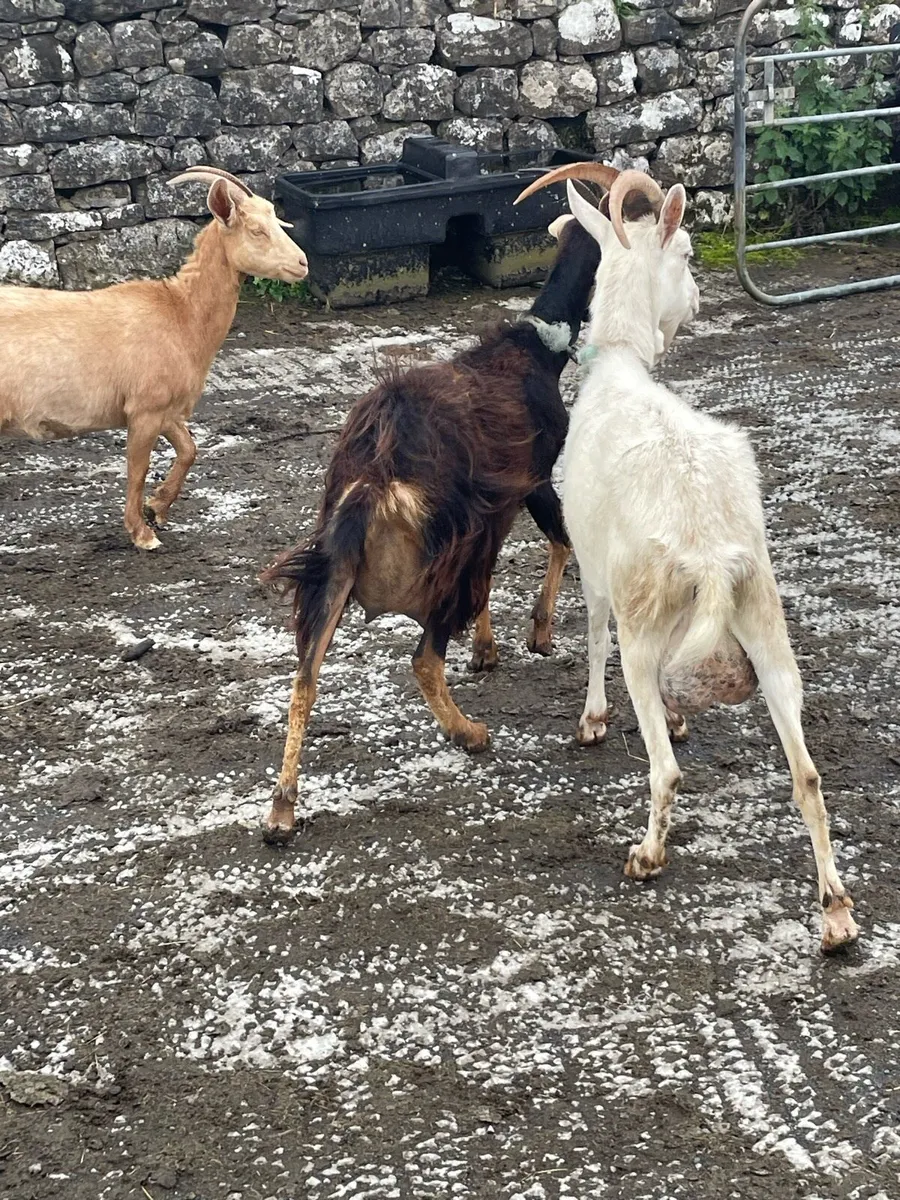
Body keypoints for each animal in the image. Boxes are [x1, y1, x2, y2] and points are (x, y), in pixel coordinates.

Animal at [0, 166, 308, 551]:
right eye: (256, 229)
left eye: (276, 219)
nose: (302, 264)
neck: (181, 315)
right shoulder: (144, 409)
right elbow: (138, 468)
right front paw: (142, 533)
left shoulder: (167, 409)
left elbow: (189, 449)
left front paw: (157, 507)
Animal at [258, 182, 625, 845]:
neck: (535, 352)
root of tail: (374, 478)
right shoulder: (530, 481)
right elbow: (558, 540)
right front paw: (536, 632)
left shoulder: (494, 511)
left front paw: (488, 648)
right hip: (440, 565)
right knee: (425, 659)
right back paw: (469, 733)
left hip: (335, 571)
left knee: (304, 676)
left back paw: (281, 809)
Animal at [522, 165, 859, 954]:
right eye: (684, 258)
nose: (699, 301)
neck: (618, 369)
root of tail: (708, 547)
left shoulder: (596, 565)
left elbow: (592, 634)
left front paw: (591, 720)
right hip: (765, 618)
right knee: (807, 775)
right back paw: (836, 914)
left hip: (648, 627)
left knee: (666, 770)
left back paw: (646, 856)